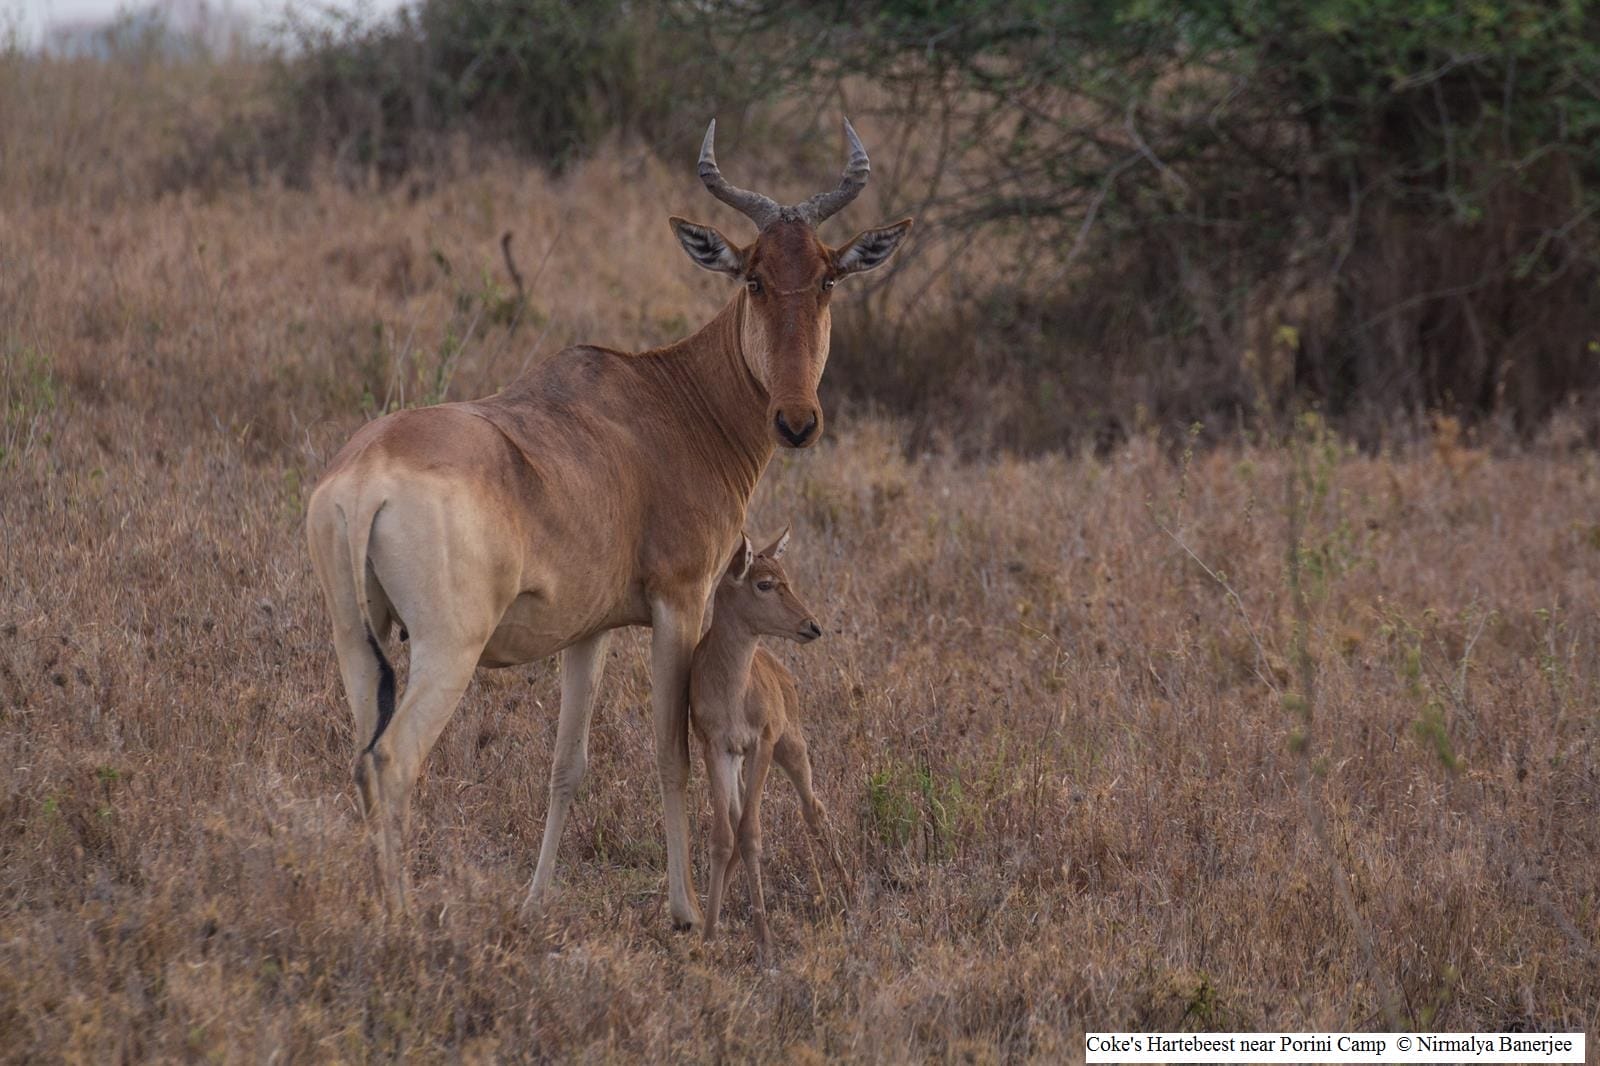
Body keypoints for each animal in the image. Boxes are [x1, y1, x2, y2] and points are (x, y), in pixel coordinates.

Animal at [694, 528, 857, 960]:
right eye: (764, 583)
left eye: (786, 576)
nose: (812, 626)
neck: (732, 686)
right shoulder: (716, 749)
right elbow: (724, 837)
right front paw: (709, 932)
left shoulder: (762, 746)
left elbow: (752, 834)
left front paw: (764, 938)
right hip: (740, 761)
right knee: (736, 822)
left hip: (792, 749)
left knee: (815, 811)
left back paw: (850, 893)